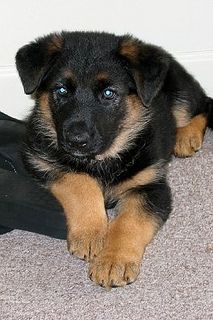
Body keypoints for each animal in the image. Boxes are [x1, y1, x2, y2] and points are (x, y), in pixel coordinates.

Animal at [15, 31, 213, 288]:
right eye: (61, 90)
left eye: (109, 93)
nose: (76, 141)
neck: (103, 160)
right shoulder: (40, 159)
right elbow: (80, 181)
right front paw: (91, 232)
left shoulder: (150, 187)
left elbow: (128, 223)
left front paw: (113, 260)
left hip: (180, 97)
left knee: (204, 105)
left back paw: (187, 135)